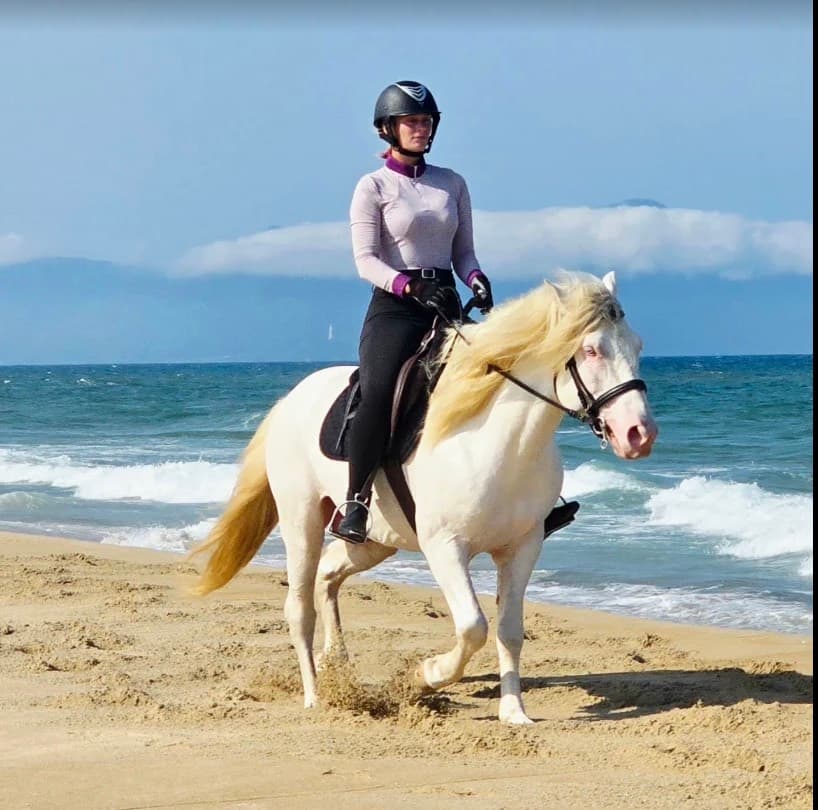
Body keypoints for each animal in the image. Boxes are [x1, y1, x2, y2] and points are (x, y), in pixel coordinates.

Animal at [191, 270, 658, 725]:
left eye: (637, 345)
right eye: (592, 351)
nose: (640, 434)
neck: (499, 443)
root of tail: (291, 398)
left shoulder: (522, 547)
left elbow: (509, 630)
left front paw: (514, 713)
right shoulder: (445, 547)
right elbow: (472, 626)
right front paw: (425, 675)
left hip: (375, 540)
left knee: (328, 575)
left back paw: (337, 664)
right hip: (301, 520)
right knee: (299, 605)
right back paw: (315, 695)